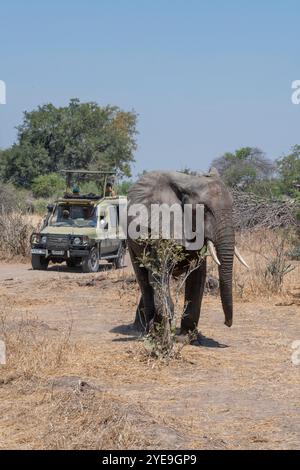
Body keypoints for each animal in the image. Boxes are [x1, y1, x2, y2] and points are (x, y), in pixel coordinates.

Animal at [127, 169, 247, 334]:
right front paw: (164, 326)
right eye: (204, 210)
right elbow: (159, 273)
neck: (188, 183)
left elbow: (198, 275)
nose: (226, 323)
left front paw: (187, 336)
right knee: (144, 278)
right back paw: (144, 329)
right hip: (129, 240)